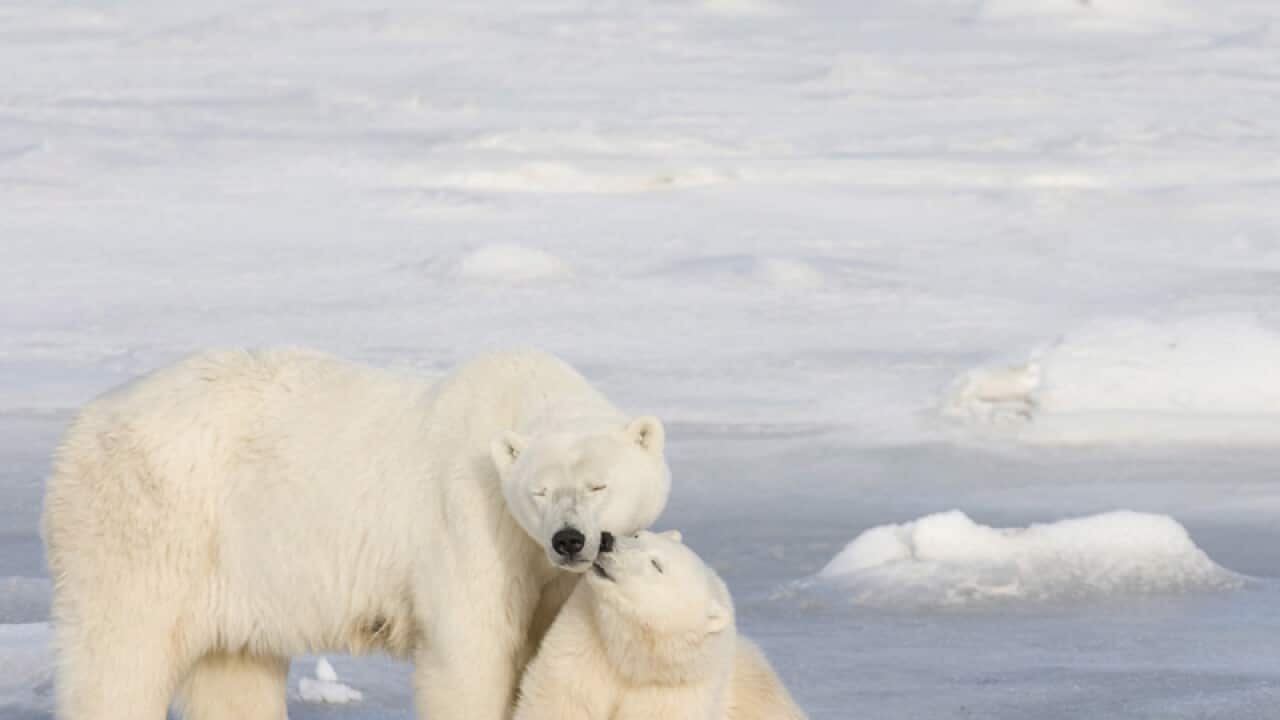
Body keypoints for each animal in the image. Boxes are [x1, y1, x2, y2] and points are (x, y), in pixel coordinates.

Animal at [41, 347, 671, 720]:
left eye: (598, 485)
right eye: (539, 491)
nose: (568, 539)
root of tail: (83, 423)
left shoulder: (545, 571)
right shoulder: (471, 521)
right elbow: (473, 648)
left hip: (235, 564)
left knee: (234, 670)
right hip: (145, 522)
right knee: (120, 655)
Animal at [513, 530, 807, 720]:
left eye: (656, 565)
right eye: (637, 535)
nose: (607, 540)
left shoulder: (676, 692)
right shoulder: (581, 648)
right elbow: (560, 704)